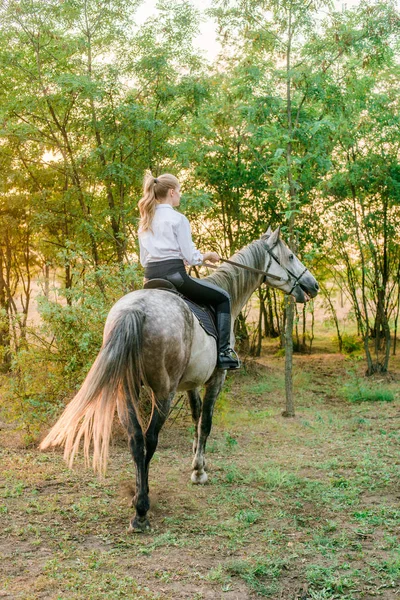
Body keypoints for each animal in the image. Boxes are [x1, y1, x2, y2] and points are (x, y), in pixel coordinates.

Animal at [39, 227, 318, 532]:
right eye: (290, 256)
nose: (313, 286)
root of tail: (135, 310)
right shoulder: (215, 379)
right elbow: (205, 422)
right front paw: (199, 471)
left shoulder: (191, 383)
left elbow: (195, 419)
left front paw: (196, 459)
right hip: (163, 392)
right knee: (150, 438)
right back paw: (142, 509)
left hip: (127, 390)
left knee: (135, 439)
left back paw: (139, 497)